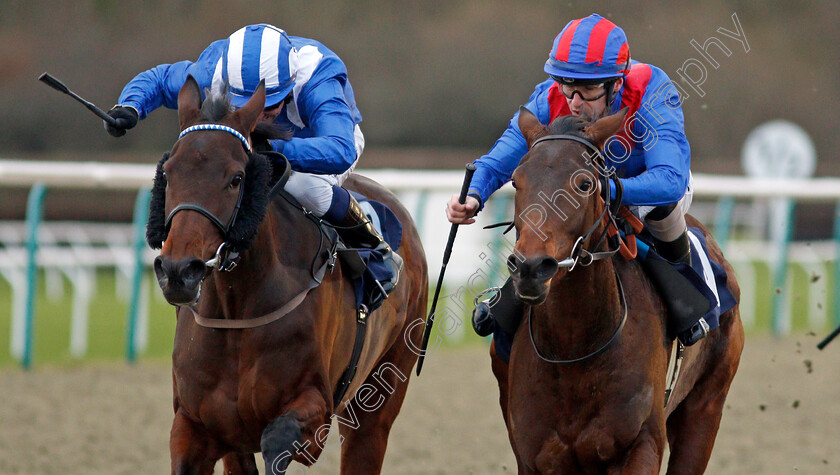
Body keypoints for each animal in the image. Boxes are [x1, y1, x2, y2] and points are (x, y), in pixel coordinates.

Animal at [148, 76, 430, 474]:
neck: (237, 311)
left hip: (381, 392)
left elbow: (277, 438)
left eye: (236, 178)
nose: (178, 270)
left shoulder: (315, 409)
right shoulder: (196, 423)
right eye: (169, 173)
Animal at [488, 109, 744, 475]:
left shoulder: (642, 443)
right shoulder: (536, 456)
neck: (574, 349)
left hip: (705, 407)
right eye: (515, 181)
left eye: (585, 183)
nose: (531, 268)